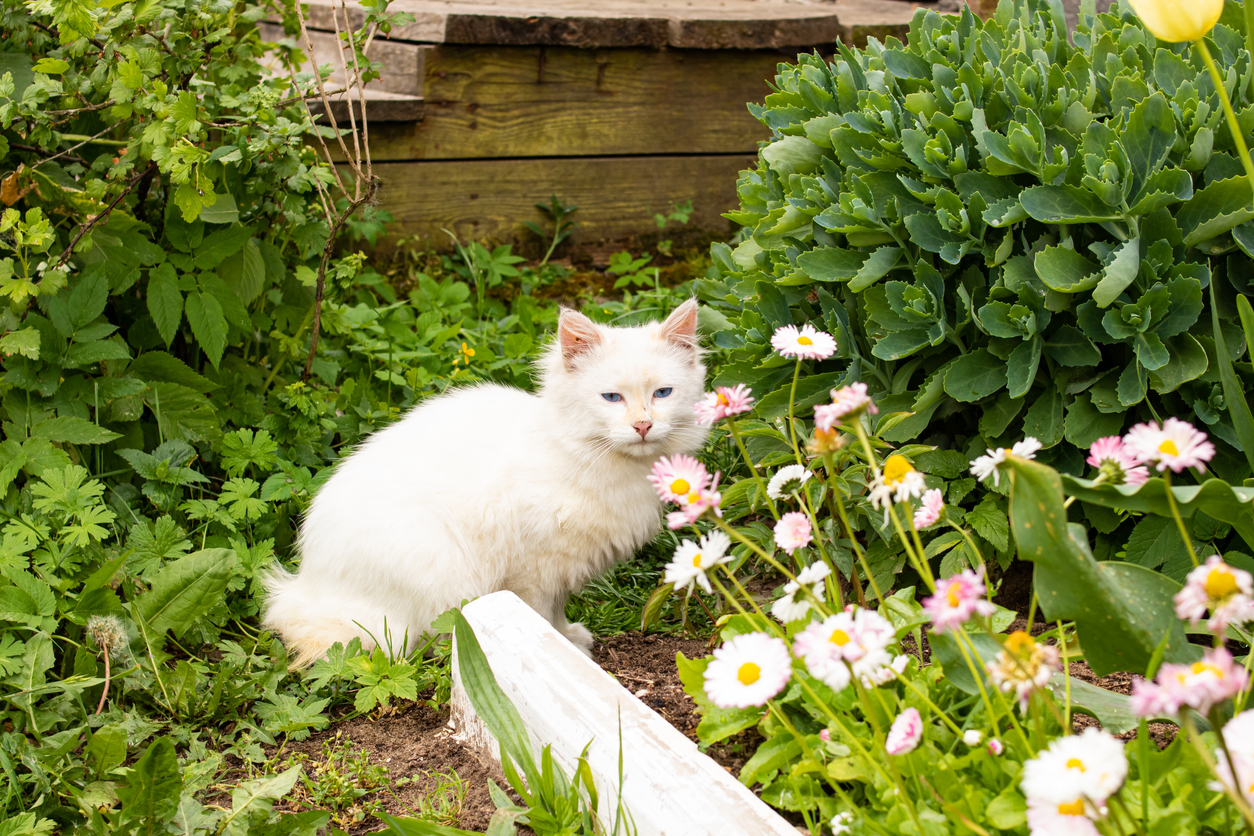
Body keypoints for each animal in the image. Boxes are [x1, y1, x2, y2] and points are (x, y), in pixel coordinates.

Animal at [262, 300, 707, 666]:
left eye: (663, 393)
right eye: (611, 398)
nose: (643, 425)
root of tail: (304, 588)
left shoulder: (560, 568)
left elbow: (557, 610)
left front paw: (569, 639)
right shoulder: (534, 569)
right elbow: (541, 614)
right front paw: (559, 648)